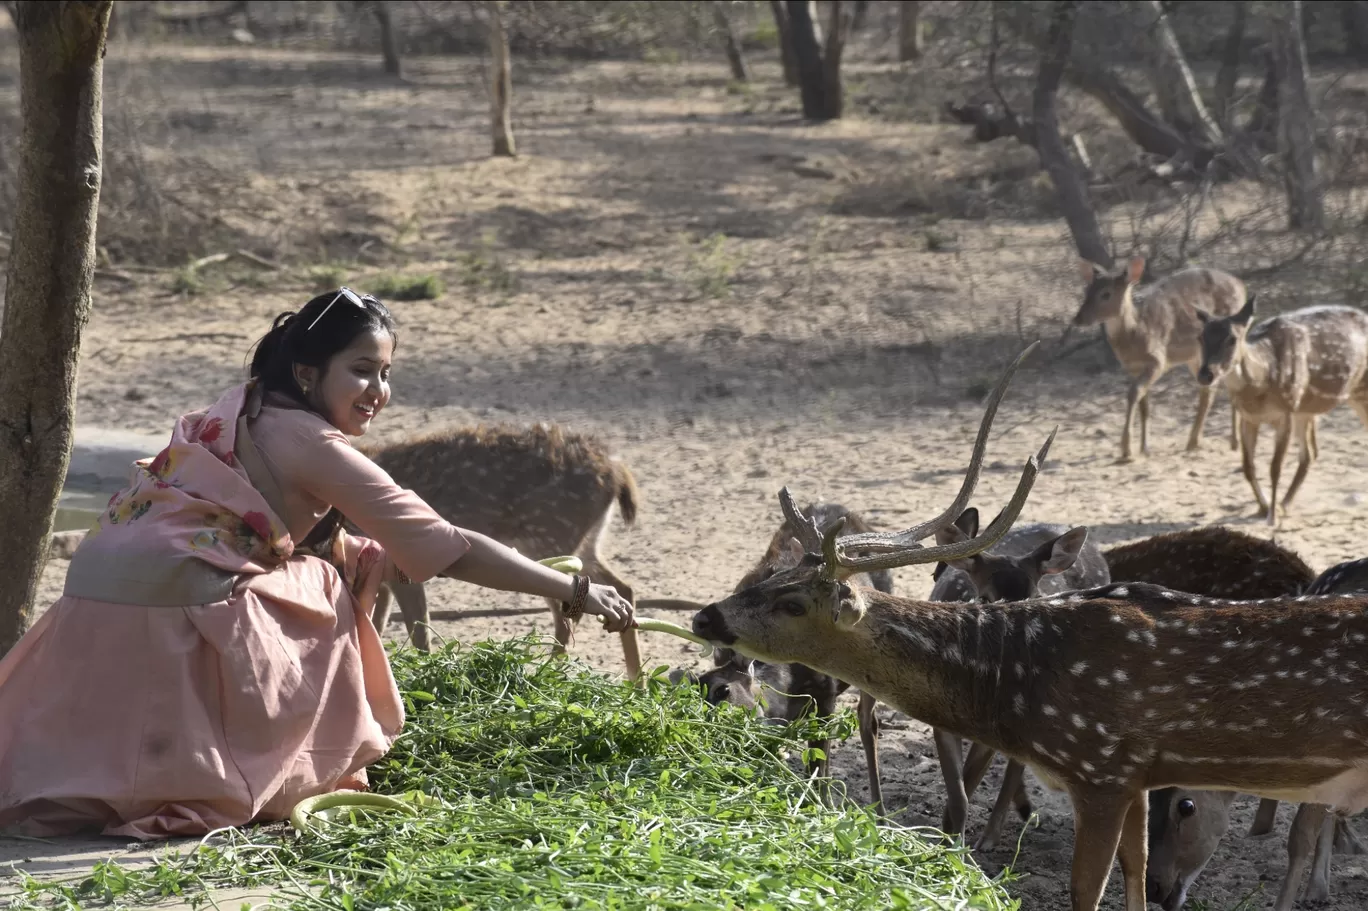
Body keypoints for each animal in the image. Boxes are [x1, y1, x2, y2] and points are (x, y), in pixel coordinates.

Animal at [361, 418, 642, 672]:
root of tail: (618, 471)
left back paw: (546, 674)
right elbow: (375, 626)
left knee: (569, 614)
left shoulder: (402, 566)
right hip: (584, 543)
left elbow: (418, 635)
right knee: (620, 590)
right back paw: (636, 682)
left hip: (550, 539)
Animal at [924, 506, 1105, 848]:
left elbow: (970, 782)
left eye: (1035, 595)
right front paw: (944, 841)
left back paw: (992, 835)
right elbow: (958, 792)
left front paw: (955, 841)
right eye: (985, 597)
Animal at [1067, 255, 1253, 462]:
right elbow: (1144, 404)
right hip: (1195, 356)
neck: (1136, 334)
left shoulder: (1158, 360)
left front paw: (1127, 450)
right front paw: (1144, 448)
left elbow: (1133, 393)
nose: (1078, 319)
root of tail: (1241, 285)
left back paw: (1232, 442)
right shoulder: (1132, 368)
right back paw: (1197, 442)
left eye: (1106, 294)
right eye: (1087, 290)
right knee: (1209, 389)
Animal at [1198, 296, 1368, 522]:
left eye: (1232, 339)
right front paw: (1264, 508)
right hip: (1308, 409)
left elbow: (1275, 467)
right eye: (1200, 337)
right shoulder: (1249, 417)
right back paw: (1285, 504)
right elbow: (1248, 466)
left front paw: (1272, 517)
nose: (1205, 375)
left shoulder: (1286, 411)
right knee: (1310, 454)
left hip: (1357, 392)